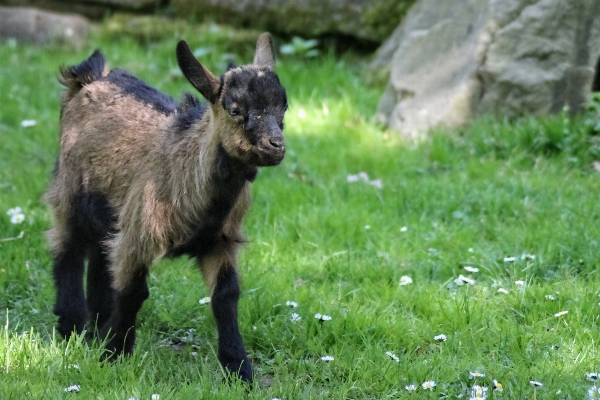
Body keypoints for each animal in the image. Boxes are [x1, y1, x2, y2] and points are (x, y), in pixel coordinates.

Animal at [44, 32, 286, 382]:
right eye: (235, 109)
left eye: (284, 107)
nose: (276, 146)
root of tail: (89, 76)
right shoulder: (139, 233)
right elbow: (133, 292)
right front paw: (114, 355)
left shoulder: (220, 240)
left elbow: (226, 296)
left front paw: (239, 370)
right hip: (68, 189)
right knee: (68, 246)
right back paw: (71, 325)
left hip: (109, 213)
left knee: (102, 255)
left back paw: (96, 325)